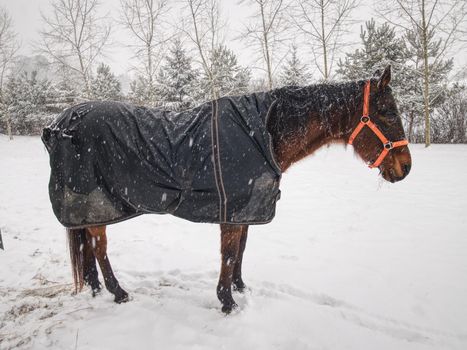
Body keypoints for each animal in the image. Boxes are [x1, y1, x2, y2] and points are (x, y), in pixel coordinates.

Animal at [42, 65, 412, 314]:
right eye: (387, 111)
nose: (405, 168)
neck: (265, 134)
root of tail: (60, 123)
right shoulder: (232, 210)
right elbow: (230, 253)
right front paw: (227, 301)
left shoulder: (244, 209)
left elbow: (242, 250)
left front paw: (240, 288)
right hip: (96, 202)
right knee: (99, 248)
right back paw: (118, 292)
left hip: (90, 208)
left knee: (86, 245)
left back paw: (95, 289)